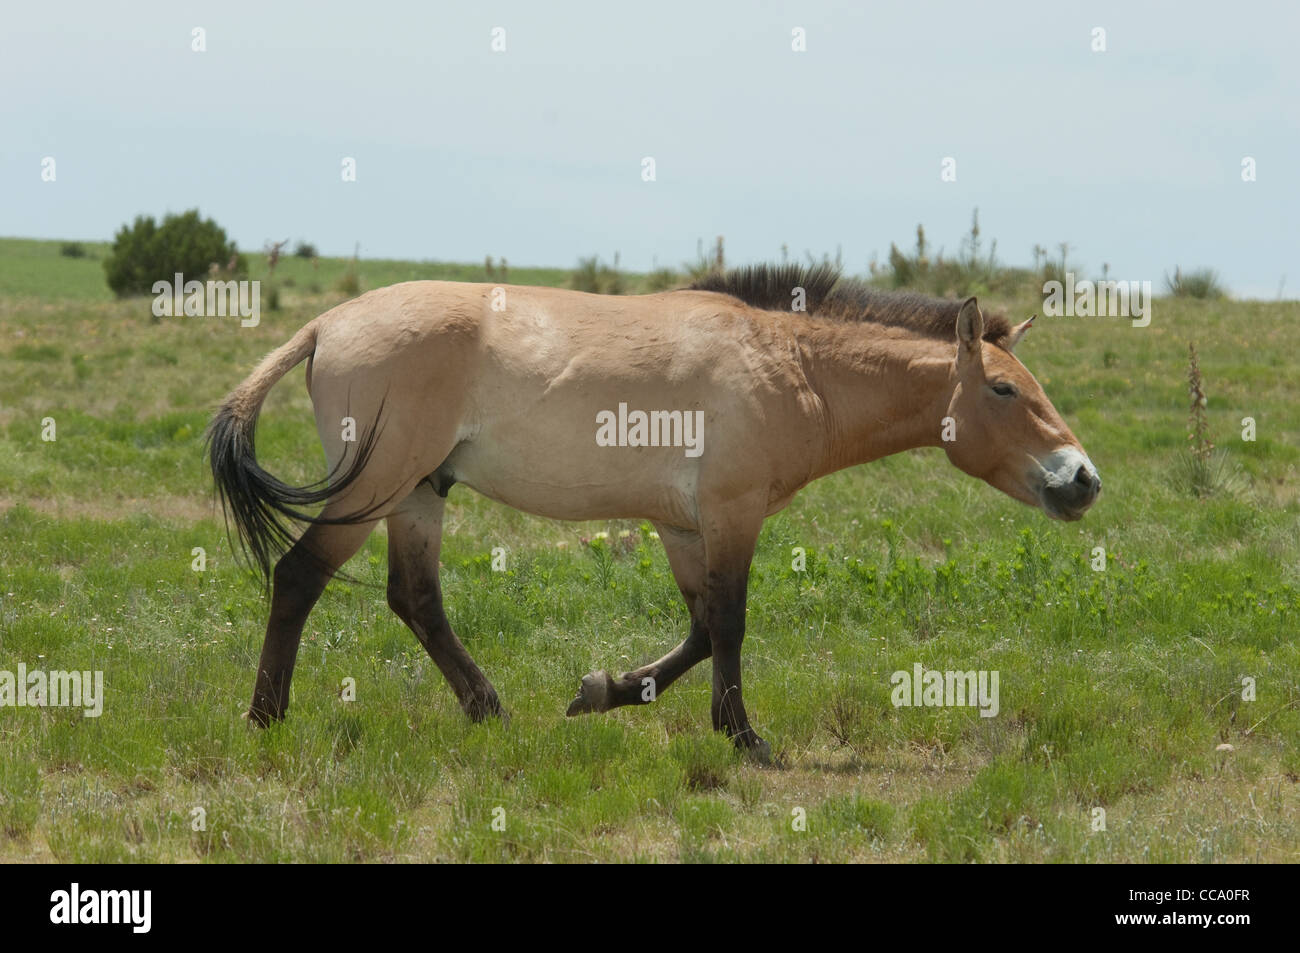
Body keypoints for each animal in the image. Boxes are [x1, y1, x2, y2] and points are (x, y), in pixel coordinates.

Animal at [208, 263, 1102, 764]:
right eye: (1004, 389)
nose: (1083, 478)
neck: (793, 365)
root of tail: (326, 324)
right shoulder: (732, 513)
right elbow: (730, 626)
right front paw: (744, 739)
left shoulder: (683, 526)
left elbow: (701, 630)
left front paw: (602, 690)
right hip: (376, 489)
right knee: (298, 577)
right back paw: (265, 718)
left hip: (421, 494)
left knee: (416, 598)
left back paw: (489, 708)